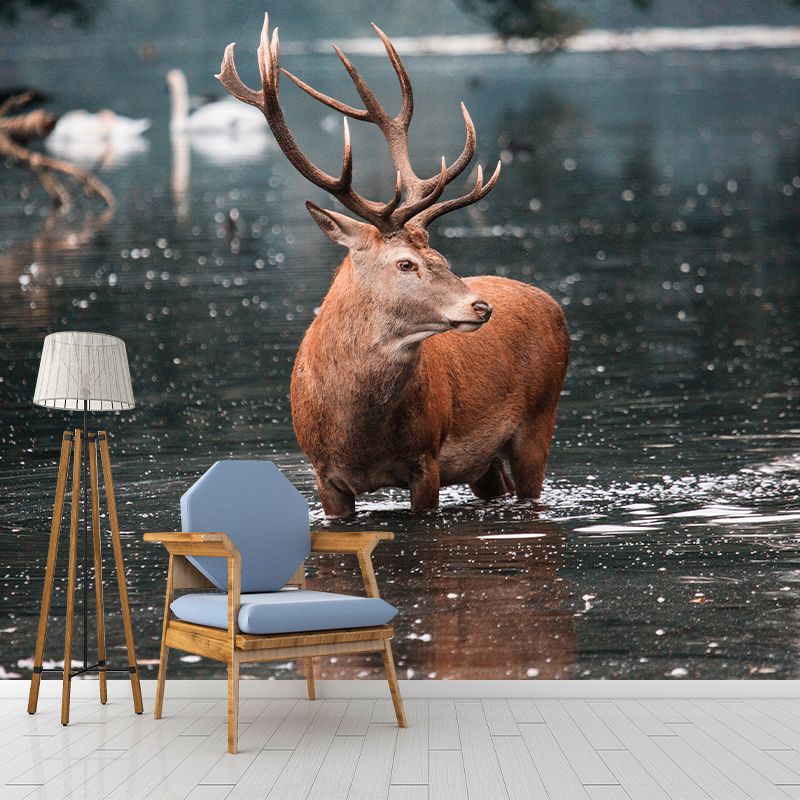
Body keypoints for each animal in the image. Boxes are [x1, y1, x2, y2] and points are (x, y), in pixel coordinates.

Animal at [218, 14, 569, 517]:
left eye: (441, 257)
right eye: (406, 264)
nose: (481, 307)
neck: (359, 437)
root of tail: (552, 303)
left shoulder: (428, 457)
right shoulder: (323, 474)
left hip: (540, 420)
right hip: (485, 463)